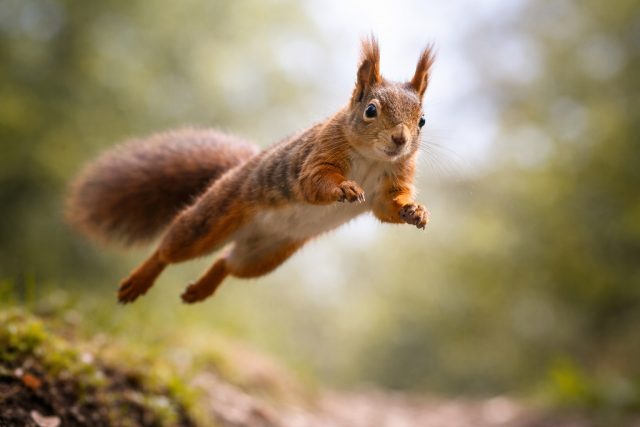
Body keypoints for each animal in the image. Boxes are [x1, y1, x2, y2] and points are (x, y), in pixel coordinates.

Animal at [66, 37, 434, 304]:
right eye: (371, 110)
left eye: (422, 120)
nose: (400, 140)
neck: (374, 158)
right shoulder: (321, 152)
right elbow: (314, 181)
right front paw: (343, 188)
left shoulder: (393, 181)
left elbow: (386, 205)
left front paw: (414, 210)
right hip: (211, 220)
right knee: (169, 249)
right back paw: (138, 281)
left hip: (264, 254)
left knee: (226, 263)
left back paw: (200, 290)